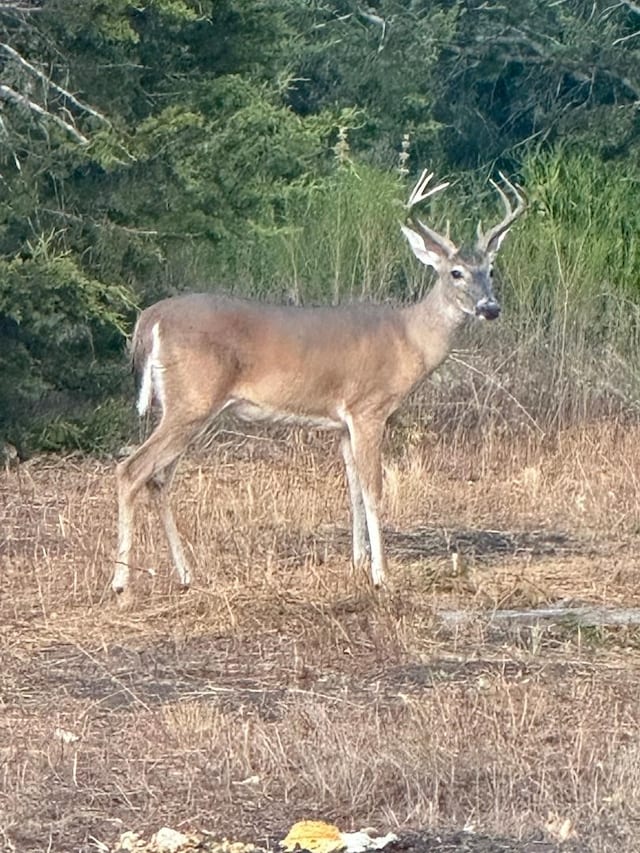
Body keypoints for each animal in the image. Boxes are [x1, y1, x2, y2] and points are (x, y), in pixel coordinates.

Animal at [114, 170, 524, 596]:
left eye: (491, 270)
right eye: (455, 272)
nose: (490, 308)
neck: (408, 339)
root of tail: (150, 319)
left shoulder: (343, 422)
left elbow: (353, 489)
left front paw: (358, 562)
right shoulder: (368, 409)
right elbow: (373, 490)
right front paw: (380, 575)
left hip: (185, 407)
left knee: (158, 479)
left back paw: (184, 574)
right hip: (191, 401)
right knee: (131, 470)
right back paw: (121, 583)